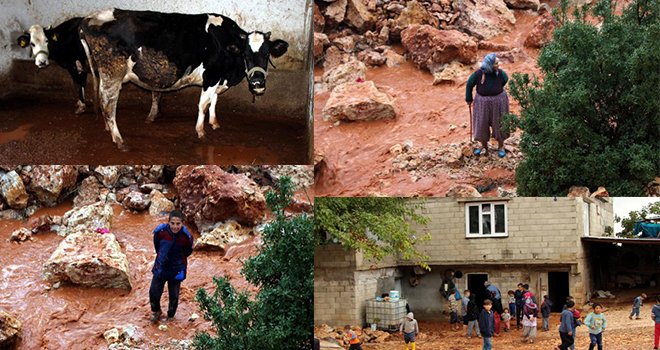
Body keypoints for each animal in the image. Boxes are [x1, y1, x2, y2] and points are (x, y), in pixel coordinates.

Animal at [17, 18, 164, 121]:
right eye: (32, 43)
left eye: (47, 41)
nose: (41, 62)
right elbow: (81, 85)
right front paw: (79, 103)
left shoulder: (74, 66)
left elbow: (77, 84)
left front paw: (81, 107)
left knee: (156, 91)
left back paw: (151, 115)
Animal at [79, 8, 288, 148]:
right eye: (245, 54)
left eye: (267, 54)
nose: (258, 83)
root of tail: (90, 18)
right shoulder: (211, 77)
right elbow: (203, 104)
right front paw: (201, 131)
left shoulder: (217, 80)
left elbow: (214, 101)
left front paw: (214, 123)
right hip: (113, 72)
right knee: (108, 103)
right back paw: (119, 139)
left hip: (105, 74)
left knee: (102, 99)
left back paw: (108, 128)